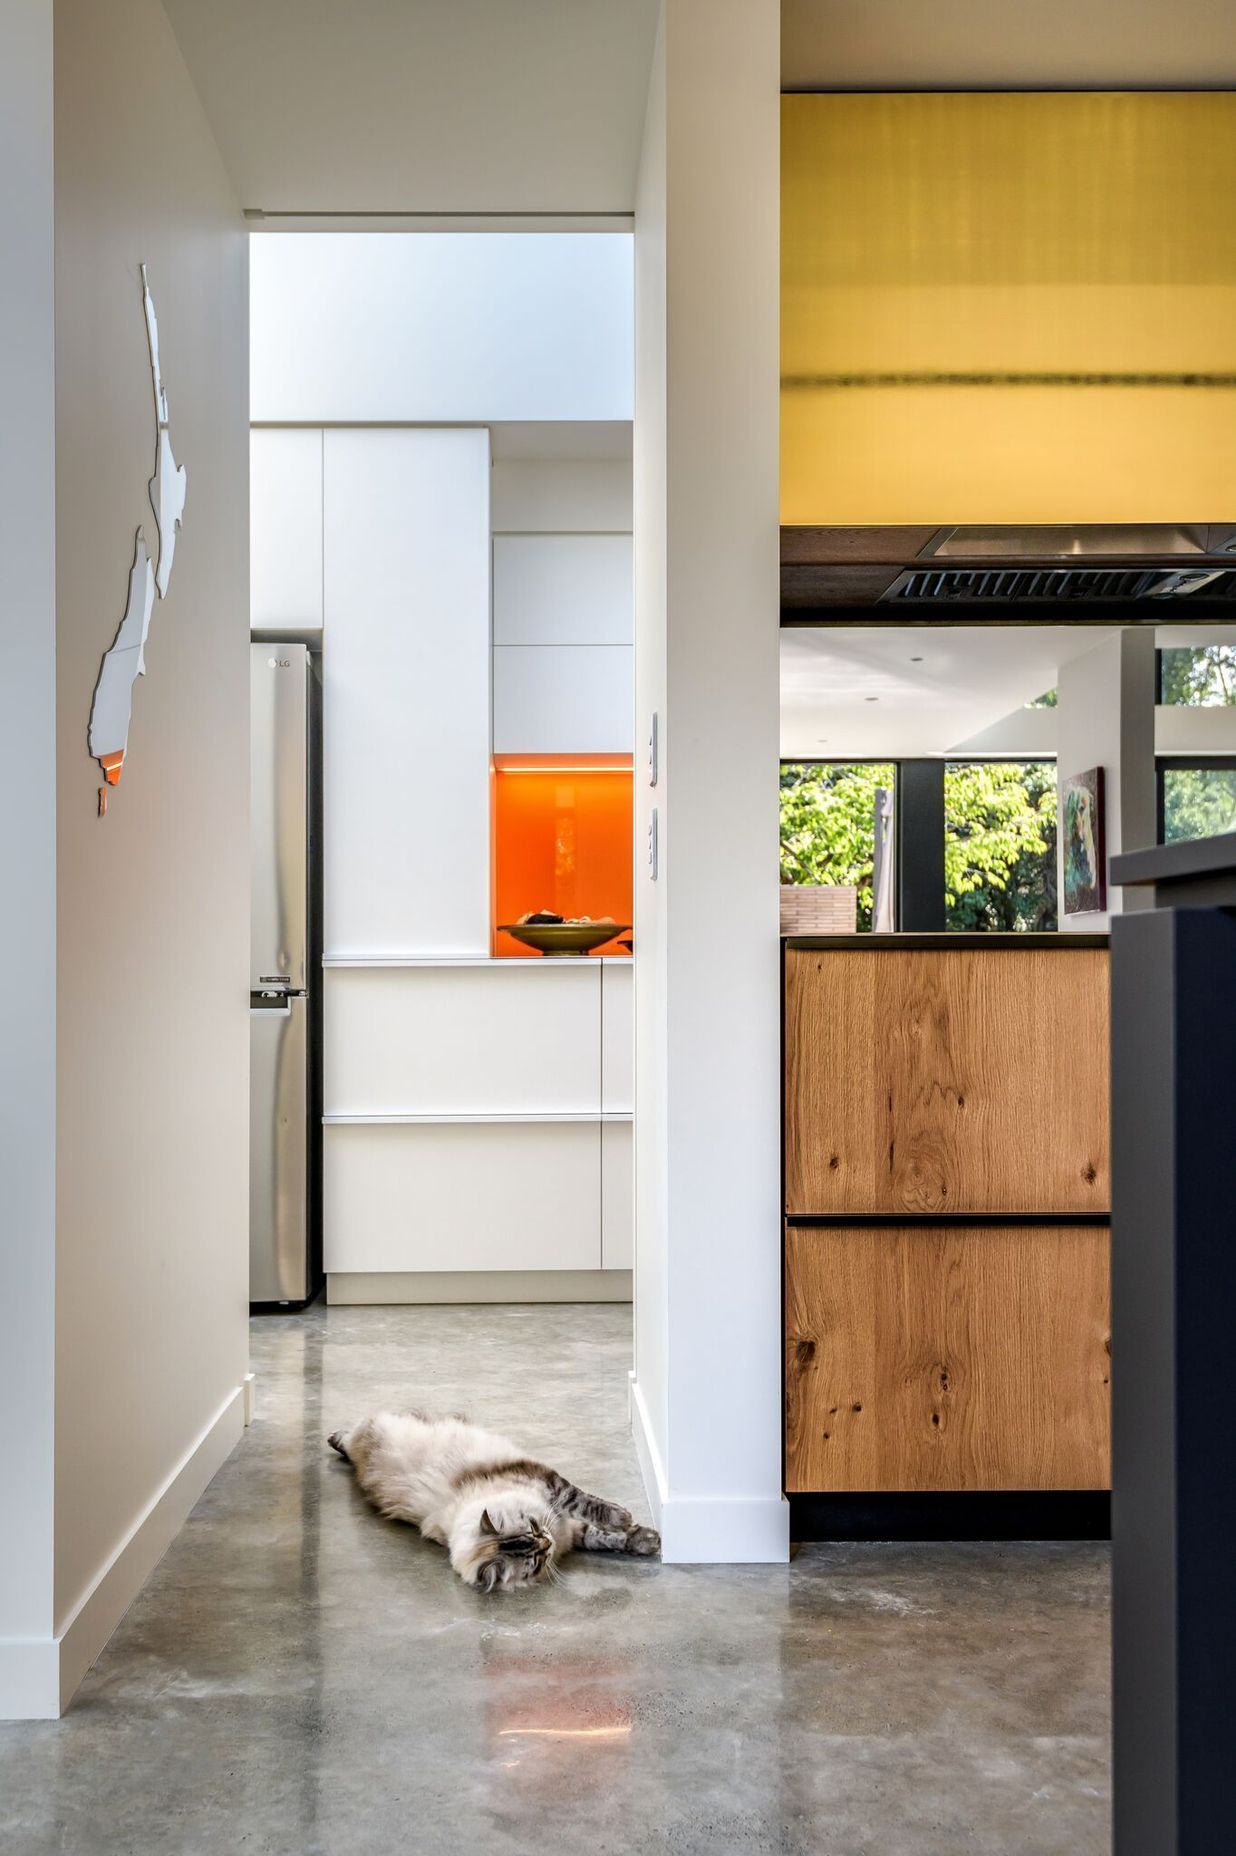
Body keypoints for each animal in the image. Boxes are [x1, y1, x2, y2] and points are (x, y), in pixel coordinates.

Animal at [322, 1410, 660, 1588]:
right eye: (537, 1558)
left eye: (534, 1526)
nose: (548, 1541)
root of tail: (363, 1449)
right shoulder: (566, 1525)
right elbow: (598, 1534)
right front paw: (641, 1537)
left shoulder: (554, 1495)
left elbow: (591, 1510)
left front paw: (640, 1533)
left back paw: (335, 1437)